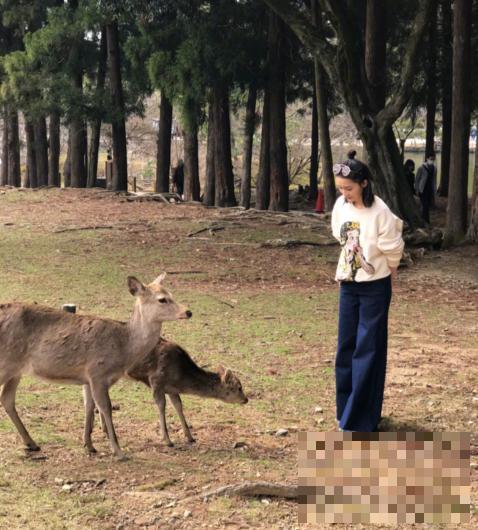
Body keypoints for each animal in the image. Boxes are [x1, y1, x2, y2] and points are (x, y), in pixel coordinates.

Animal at [0, 272, 190, 458]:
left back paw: (31, 443)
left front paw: (89, 445)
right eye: (162, 299)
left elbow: (89, 405)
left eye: (171, 294)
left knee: (7, 399)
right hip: (6, 363)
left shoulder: (88, 378)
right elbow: (105, 407)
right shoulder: (97, 372)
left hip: (16, 370)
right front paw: (118, 451)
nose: (188, 312)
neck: (124, 347)